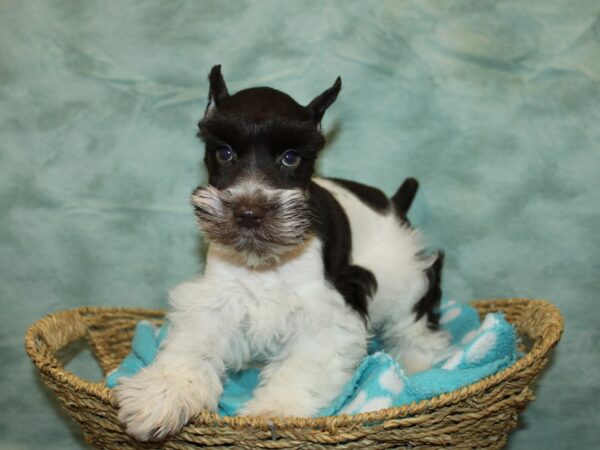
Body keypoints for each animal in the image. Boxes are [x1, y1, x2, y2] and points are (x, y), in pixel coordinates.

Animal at [115, 65, 448, 442]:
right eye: (224, 152)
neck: (266, 263)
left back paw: (415, 365)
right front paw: (162, 394)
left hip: (409, 279)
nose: (248, 213)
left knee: (418, 328)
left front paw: (274, 410)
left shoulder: (326, 313)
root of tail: (393, 203)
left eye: (290, 157)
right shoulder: (216, 299)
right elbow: (192, 345)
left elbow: (302, 366)